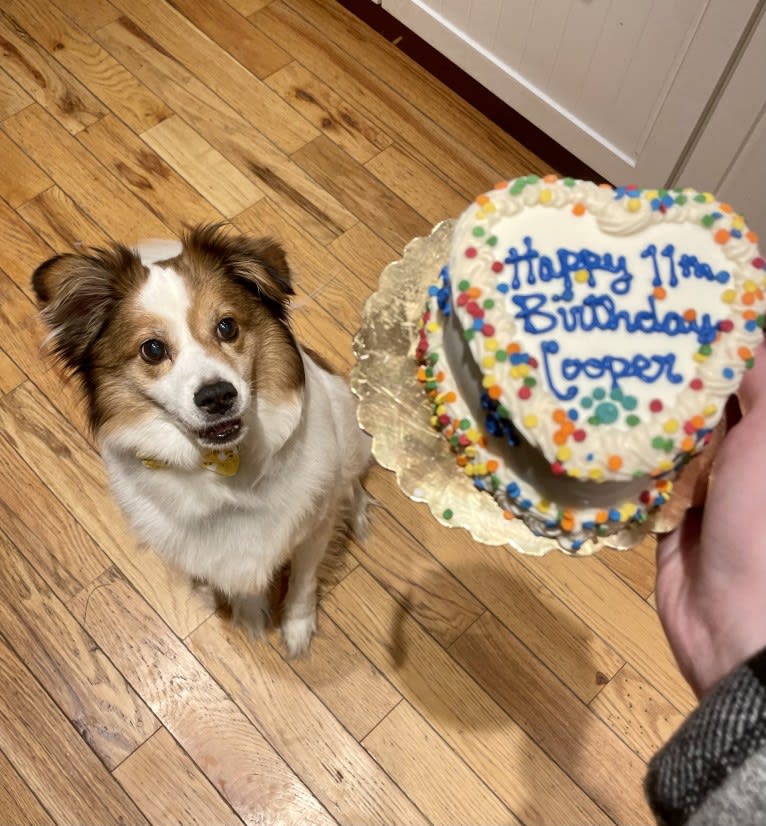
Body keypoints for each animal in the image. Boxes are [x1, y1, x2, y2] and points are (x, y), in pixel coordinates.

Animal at [33, 222, 372, 652]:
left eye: (227, 327)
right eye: (152, 349)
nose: (217, 396)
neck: (225, 465)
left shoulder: (313, 528)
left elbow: (303, 581)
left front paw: (297, 627)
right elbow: (238, 581)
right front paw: (250, 614)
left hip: (347, 422)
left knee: (352, 479)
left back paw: (358, 514)